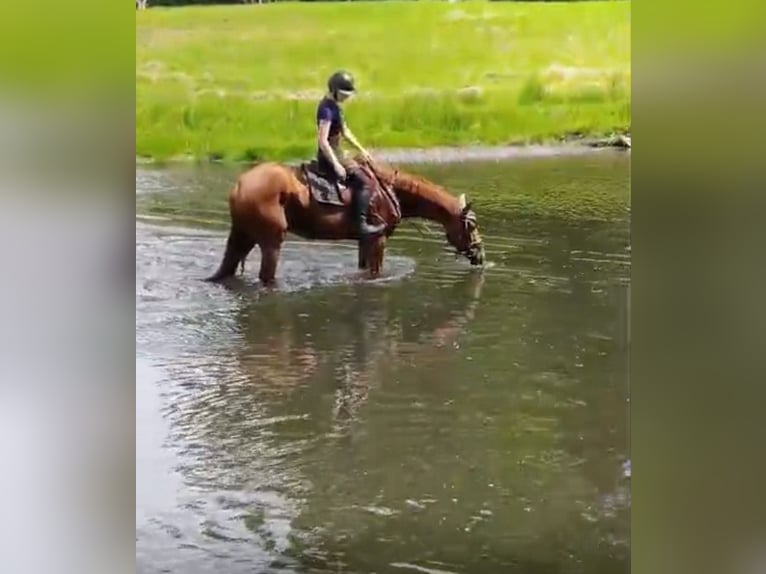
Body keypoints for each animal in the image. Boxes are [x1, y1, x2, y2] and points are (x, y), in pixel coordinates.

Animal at [204, 154, 485, 285]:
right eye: (471, 225)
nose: (480, 255)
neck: (391, 190)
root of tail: (239, 186)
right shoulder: (378, 240)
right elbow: (374, 272)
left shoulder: (364, 240)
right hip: (270, 241)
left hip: (242, 236)